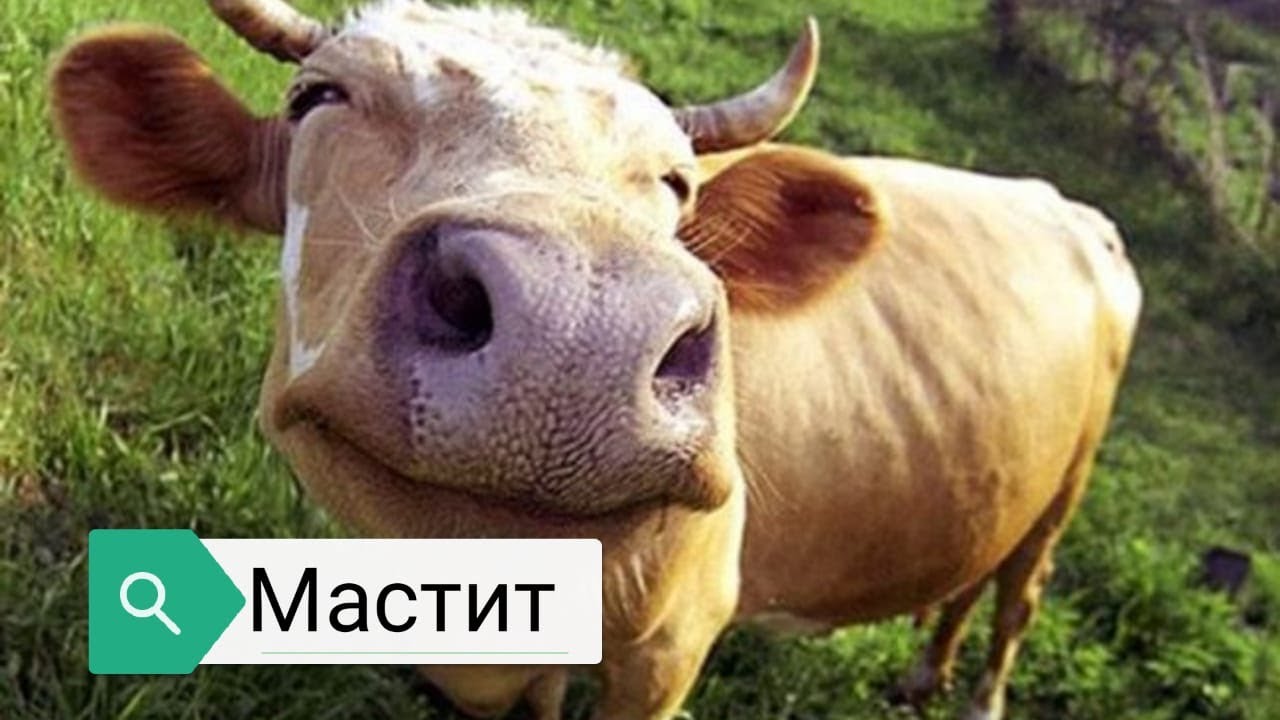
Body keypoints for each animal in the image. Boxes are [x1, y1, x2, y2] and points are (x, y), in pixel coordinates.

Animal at [49, 1, 1142, 719]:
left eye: (678, 184)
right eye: (319, 96)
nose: (574, 331)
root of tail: (1060, 201)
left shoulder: (672, 647)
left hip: (1075, 478)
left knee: (1018, 593)